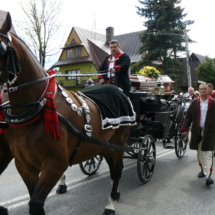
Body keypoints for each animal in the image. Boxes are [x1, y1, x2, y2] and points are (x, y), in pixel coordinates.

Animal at [0, 12, 134, 214]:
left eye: (0, 49)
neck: (35, 109)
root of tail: (117, 89)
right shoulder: (25, 166)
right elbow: (32, 199)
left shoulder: (55, 165)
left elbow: (35, 203)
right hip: (100, 142)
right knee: (111, 165)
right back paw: (115, 194)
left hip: (120, 140)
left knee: (117, 169)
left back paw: (111, 203)